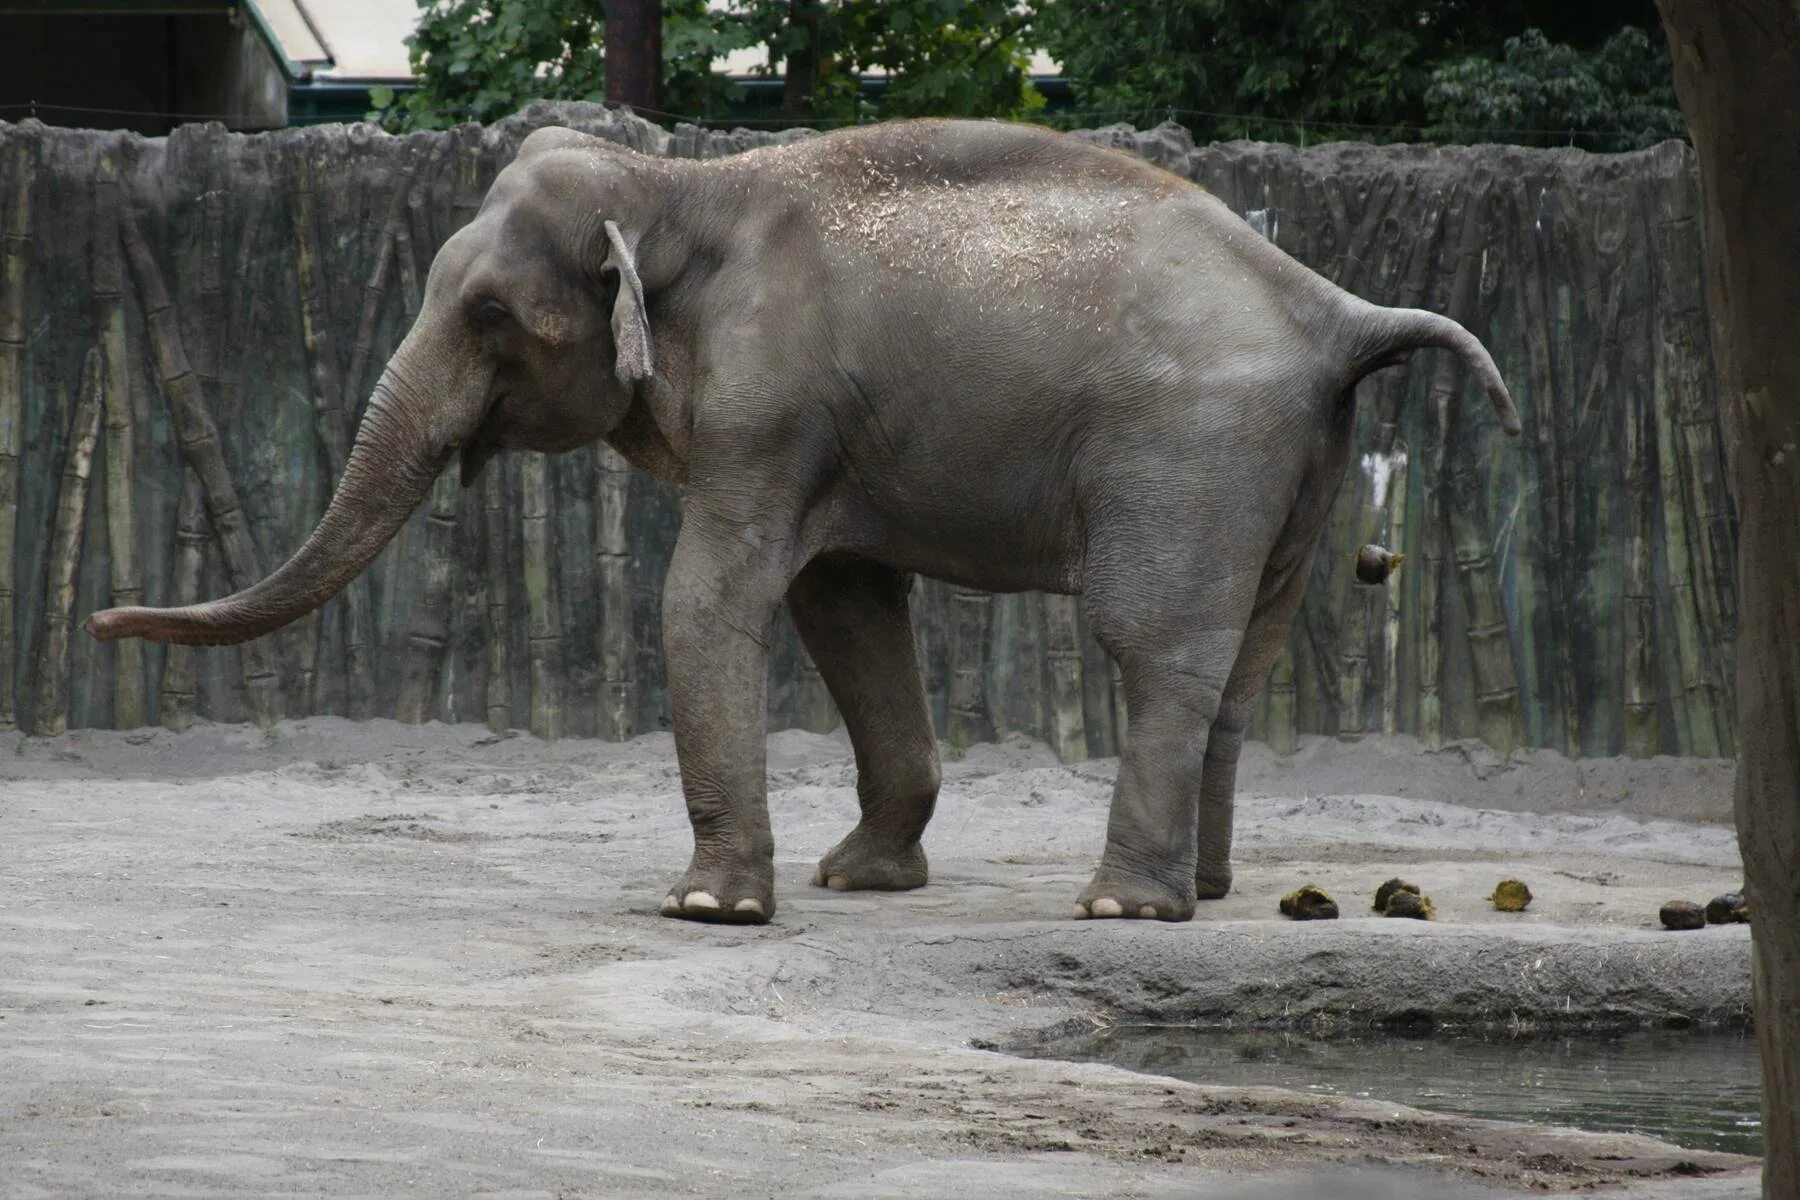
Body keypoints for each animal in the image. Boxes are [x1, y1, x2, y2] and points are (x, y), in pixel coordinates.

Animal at [87, 116, 1519, 928]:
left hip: (1190, 449)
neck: (676, 184)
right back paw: (1205, 895)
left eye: (489, 315)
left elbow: (711, 600)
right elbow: (847, 608)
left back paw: (1123, 908)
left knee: (1153, 643)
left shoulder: (767, 405)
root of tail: (1333, 310)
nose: (100, 617)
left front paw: (708, 909)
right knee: (1244, 660)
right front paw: (857, 883)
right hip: (1288, 464)